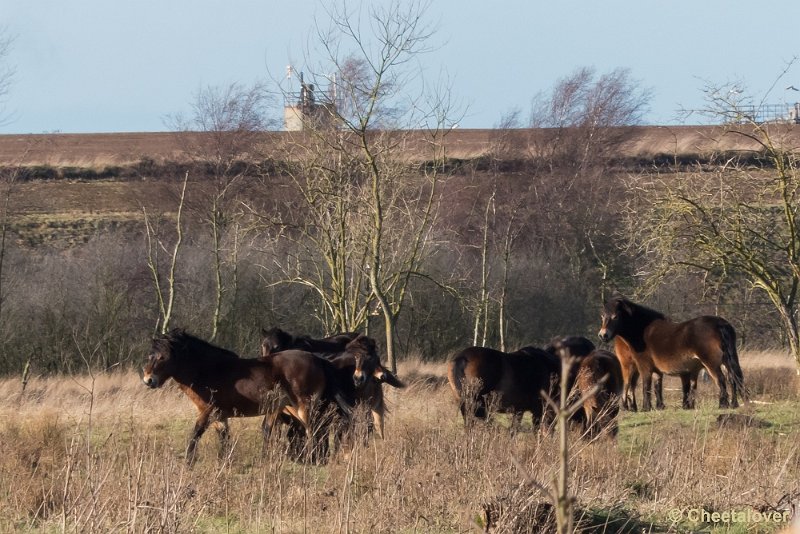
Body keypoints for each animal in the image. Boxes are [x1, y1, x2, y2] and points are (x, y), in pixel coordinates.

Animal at [142, 328, 348, 462]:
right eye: (150, 355)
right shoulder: (220, 416)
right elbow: (224, 439)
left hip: (304, 406)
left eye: (163, 357)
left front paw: (188, 462)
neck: (208, 370)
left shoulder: (208, 411)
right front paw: (224, 462)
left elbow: (195, 433)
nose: (148, 380)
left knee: (314, 430)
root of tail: (317, 359)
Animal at [600, 296, 744, 412]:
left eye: (615, 316)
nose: (603, 335)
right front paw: (659, 406)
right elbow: (657, 386)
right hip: (725, 362)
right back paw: (733, 404)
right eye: (602, 316)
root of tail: (721, 325)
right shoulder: (657, 370)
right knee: (733, 380)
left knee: (721, 380)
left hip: (711, 364)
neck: (642, 331)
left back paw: (723, 405)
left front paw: (646, 407)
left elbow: (646, 386)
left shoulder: (644, 366)